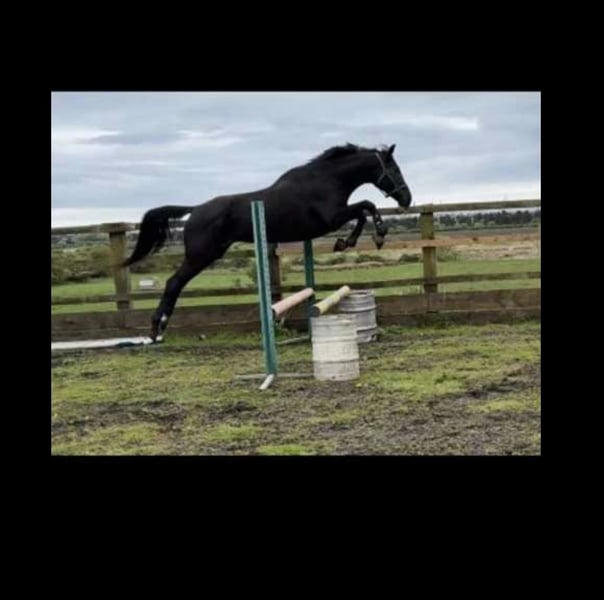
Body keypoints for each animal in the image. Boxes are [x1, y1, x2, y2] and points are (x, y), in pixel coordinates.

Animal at [122, 143, 412, 341]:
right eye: (395, 170)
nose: (407, 199)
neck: (327, 181)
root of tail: (194, 211)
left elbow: (363, 210)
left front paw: (348, 242)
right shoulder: (331, 219)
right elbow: (366, 207)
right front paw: (370, 237)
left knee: (175, 283)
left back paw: (158, 329)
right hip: (201, 255)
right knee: (173, 283)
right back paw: (157, 327)